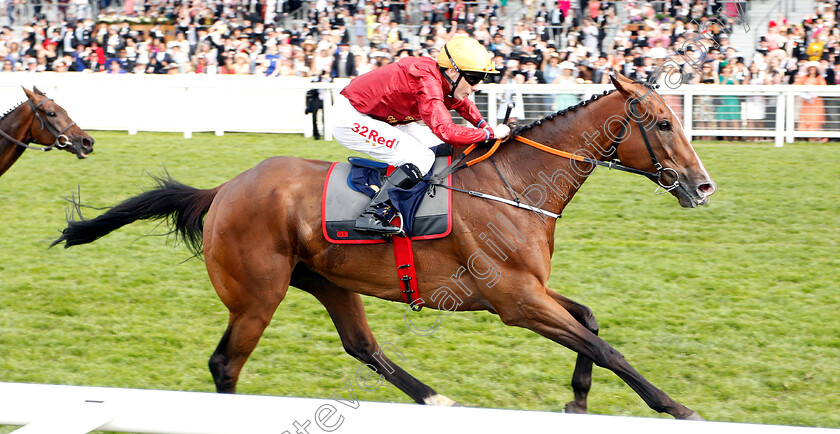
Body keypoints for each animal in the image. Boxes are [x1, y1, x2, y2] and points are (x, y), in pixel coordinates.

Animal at [50, 73, 716, 418]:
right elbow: (607, 348)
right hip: (257, 295)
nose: (703, 185)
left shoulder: (531, 290)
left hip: (327, 280)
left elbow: (592, 323)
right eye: (662, 123)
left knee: (362, 346)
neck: (514, 185)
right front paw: (675, 407)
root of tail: (225, 189)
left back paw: (434, 399)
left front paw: (578, 401)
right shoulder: (514, 301)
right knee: (225, 365)